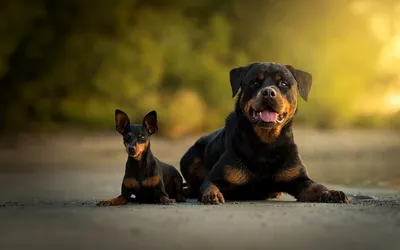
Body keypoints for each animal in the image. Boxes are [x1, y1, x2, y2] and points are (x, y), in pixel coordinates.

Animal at [180, 61, 348, 204]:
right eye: (255, 82)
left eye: (283, 83)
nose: (268, 92)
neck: (266, 143)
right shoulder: (216, 177)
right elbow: (209, 185)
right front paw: (212, 195)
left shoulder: (299, 179)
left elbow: (317, 186)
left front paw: (331, 192)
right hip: (190, 157)